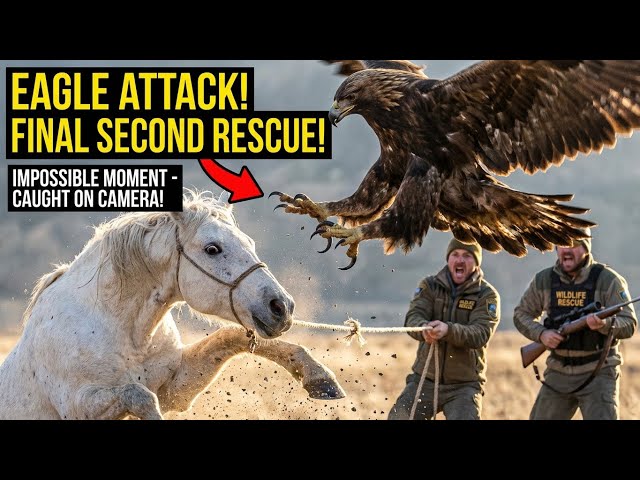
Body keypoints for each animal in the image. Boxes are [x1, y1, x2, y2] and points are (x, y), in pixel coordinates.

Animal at [0, 190, 345, 419]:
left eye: (249, 243)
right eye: (212, 248)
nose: (281, 307)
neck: (125, 333)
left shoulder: (174, 388)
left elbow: (231, 337)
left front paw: (321, 379)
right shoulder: (79, 405)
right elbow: (138, 394)